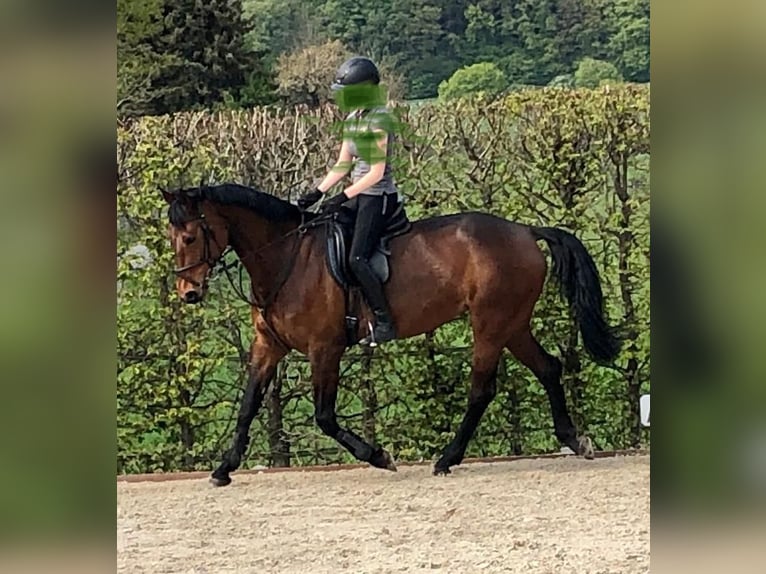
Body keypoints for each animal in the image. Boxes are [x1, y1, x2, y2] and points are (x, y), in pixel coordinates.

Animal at [161, 183, 621, 486]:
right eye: (171, 237)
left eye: (190, 236)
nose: (188, 293)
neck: (287, 257)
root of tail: (525, 230)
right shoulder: (268, 345)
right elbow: (248, 405)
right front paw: (223, 469)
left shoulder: (324, 349)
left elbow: (325, 417)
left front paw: (379, 456)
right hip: (513, 323)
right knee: (548, 368)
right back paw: (574, 439)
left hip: (490, 324)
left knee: (482, 390)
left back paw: (447, 458)